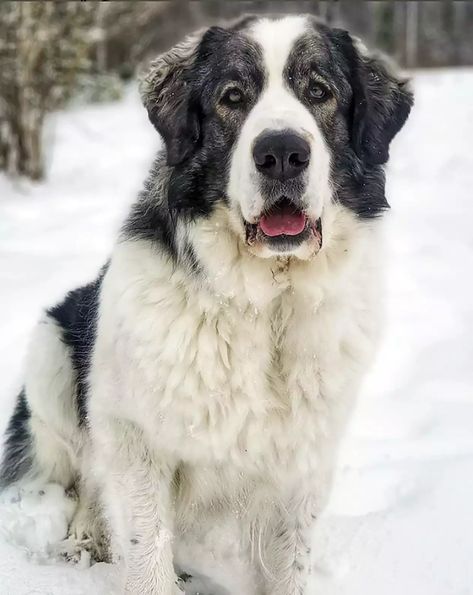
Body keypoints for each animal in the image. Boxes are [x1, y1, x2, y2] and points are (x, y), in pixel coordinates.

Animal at [0, 12, 410, 595]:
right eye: (233, 96)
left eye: (319, 92)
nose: (282, 153)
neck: (264, 306)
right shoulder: (134, 438)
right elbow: (145, 548)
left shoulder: (300, 462)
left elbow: (288, 562)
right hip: (52, 352)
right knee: (83, 472)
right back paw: (84, 535)